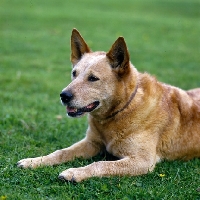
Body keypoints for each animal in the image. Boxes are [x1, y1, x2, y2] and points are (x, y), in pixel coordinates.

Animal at [17, 28, 200, 183]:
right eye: (74, 73)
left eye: (93, 78)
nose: (64, 95)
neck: (122, 110)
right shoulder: (92, 143)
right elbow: (61, 152)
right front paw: (35, 161)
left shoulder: (142, 161)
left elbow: (101, 164)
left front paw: (75, 172)